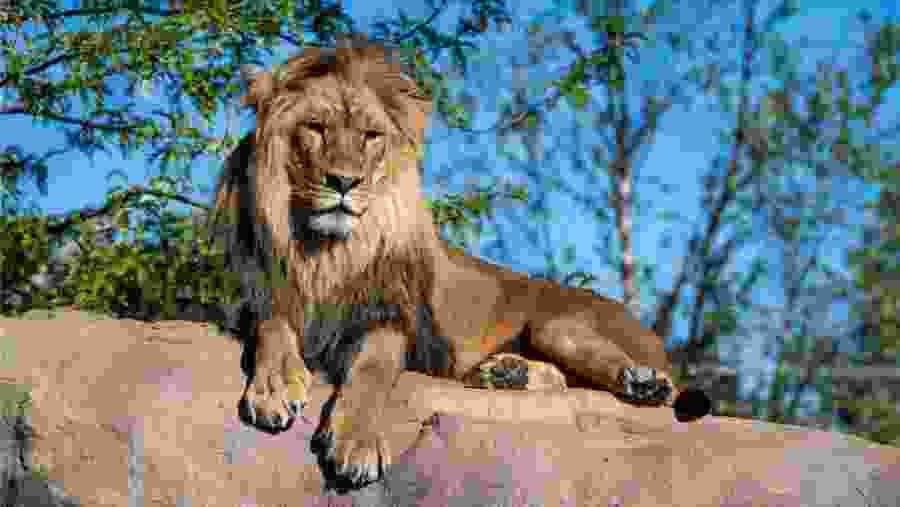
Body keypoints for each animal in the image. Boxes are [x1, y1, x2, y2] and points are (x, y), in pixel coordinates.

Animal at [210, 33, 711, 494]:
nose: (345, 182)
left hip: (557, 324)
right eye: (315, 128)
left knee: (637, 383)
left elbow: (373, 370)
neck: (327, 252)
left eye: (371, 137)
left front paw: (357, 442)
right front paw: (275, 385)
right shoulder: (257, 293)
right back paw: (506, 373)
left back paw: (642, 382)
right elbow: (272, 324)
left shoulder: (395, 320)